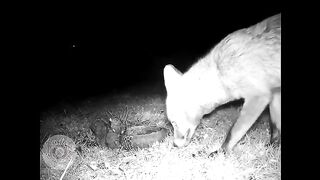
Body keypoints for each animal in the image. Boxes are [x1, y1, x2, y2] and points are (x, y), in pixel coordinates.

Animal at [164, 14, 282, 155]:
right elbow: (275, 126)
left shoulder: (259, 96)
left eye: (174, 122)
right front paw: (273, 146)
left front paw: (222, 151)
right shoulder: (275, 91)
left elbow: (233, 132)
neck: (221, 72)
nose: (175, 144)